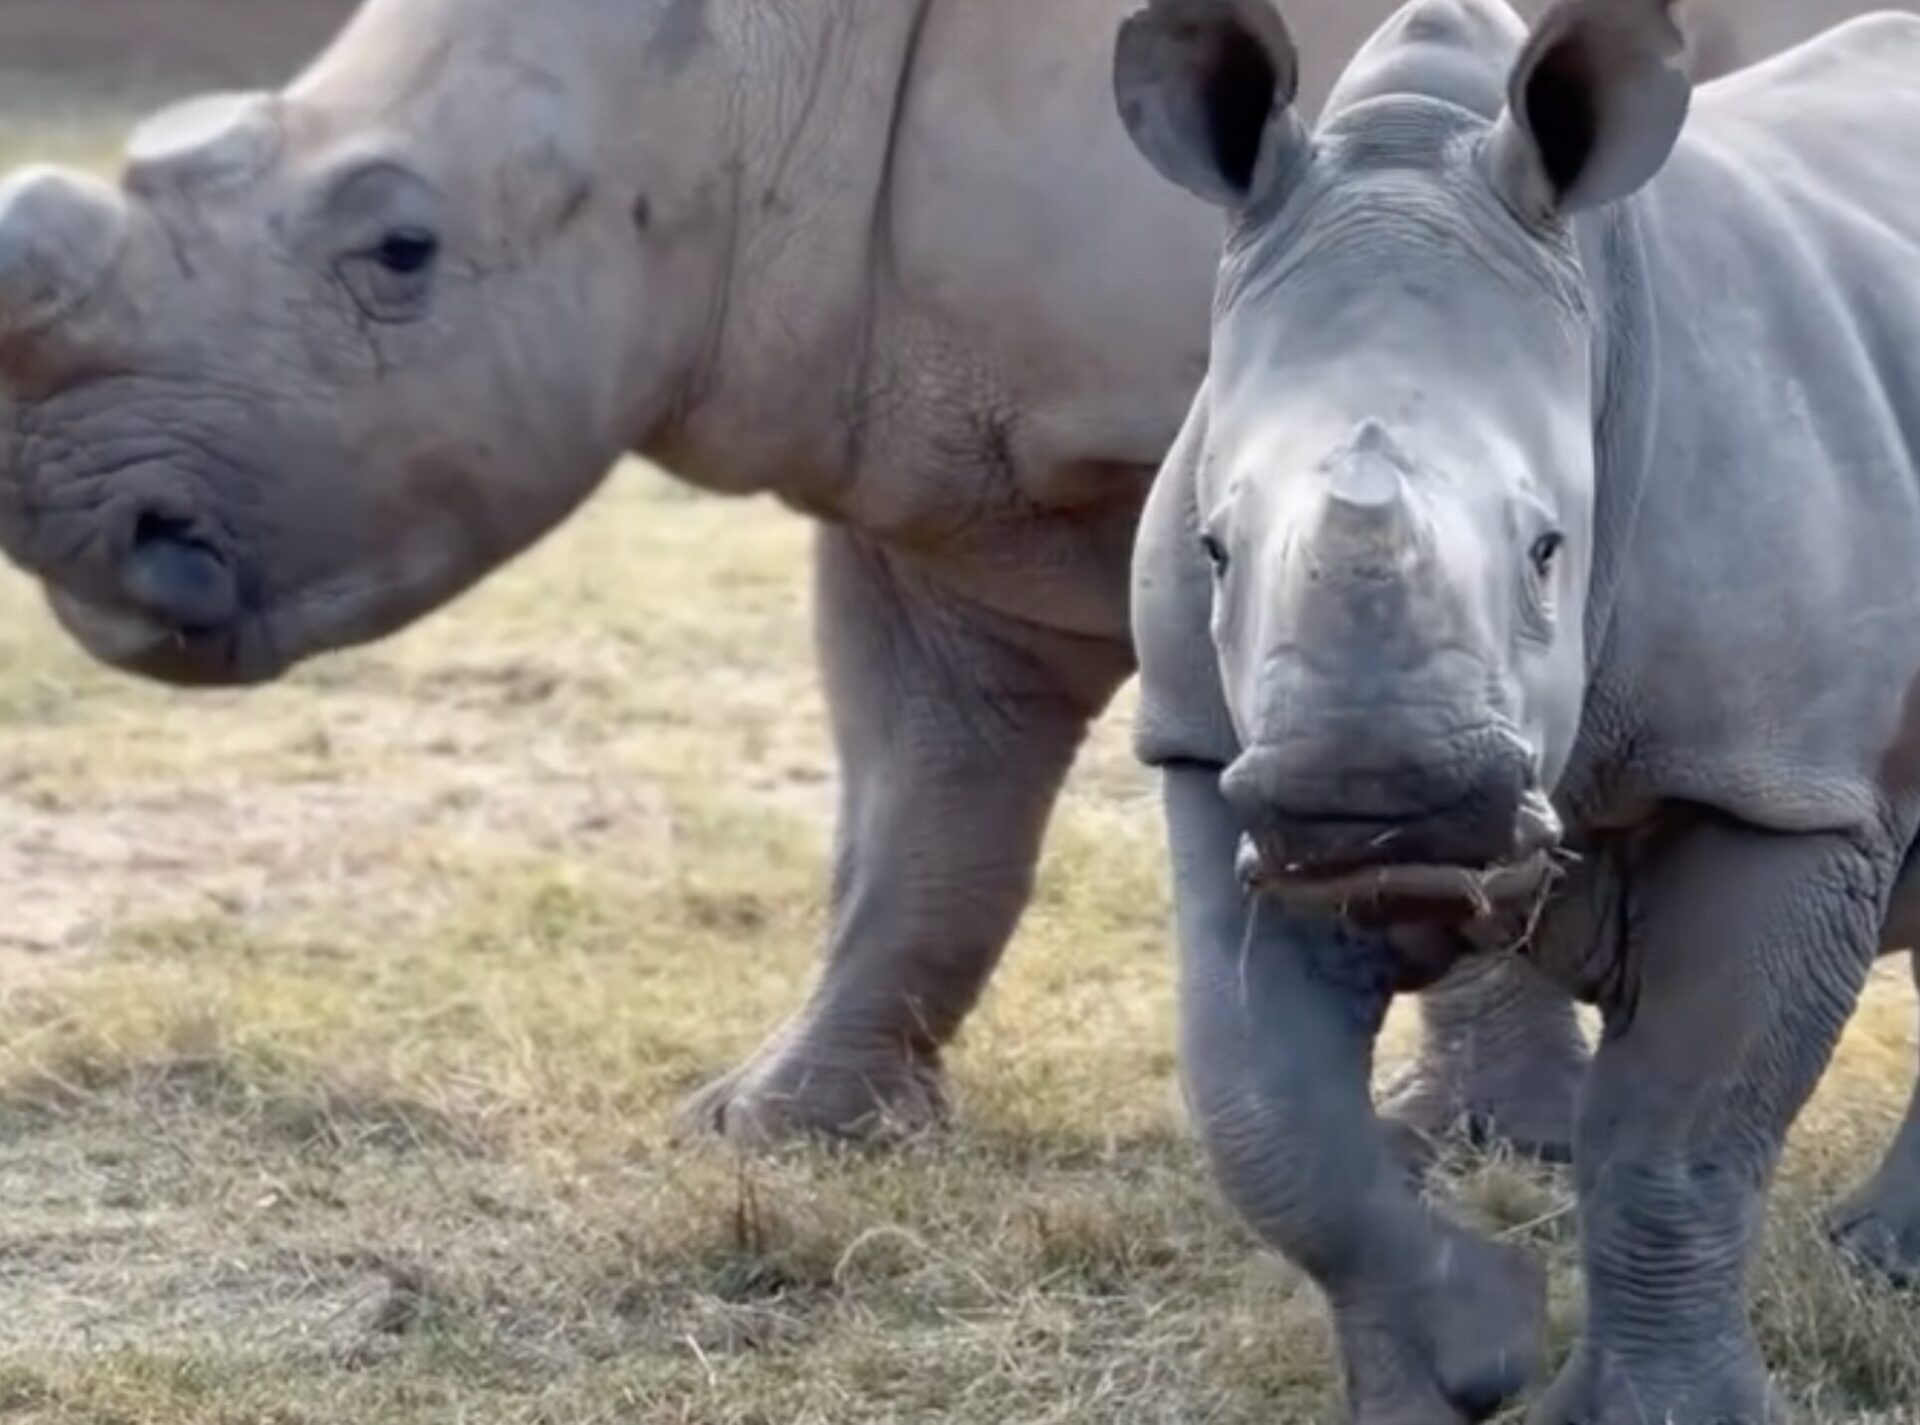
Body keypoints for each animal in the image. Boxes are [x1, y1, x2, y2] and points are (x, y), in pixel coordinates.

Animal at [1121, 0, 1920, 1421]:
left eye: (1551, 550)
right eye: (1215, 551)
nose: (1376, 802)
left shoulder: (1786, 785)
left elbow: (1673, 1139)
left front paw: (1652, 1414)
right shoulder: (1208, 752)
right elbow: (1266, 1117)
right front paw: (1467, 1350)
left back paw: (1877, 1265)